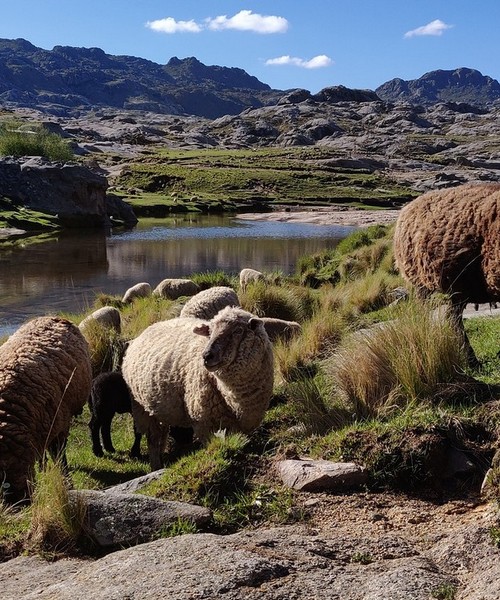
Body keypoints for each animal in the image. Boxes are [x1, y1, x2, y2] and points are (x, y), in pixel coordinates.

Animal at [123, 308, 276, 472]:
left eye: (238, 331)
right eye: (210, 331)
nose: (207, 356)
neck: (234, 398)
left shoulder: (240, 423)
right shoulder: (203, 422)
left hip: (160, 410)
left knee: (161, 437)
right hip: (141, 408)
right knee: (153, 439)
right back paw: (156, 467)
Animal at [394, 182, 500, 366]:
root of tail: (408, 206)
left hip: (458, 285)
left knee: (452, 317)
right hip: (423, 283)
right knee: (439, 315)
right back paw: (470, 360)